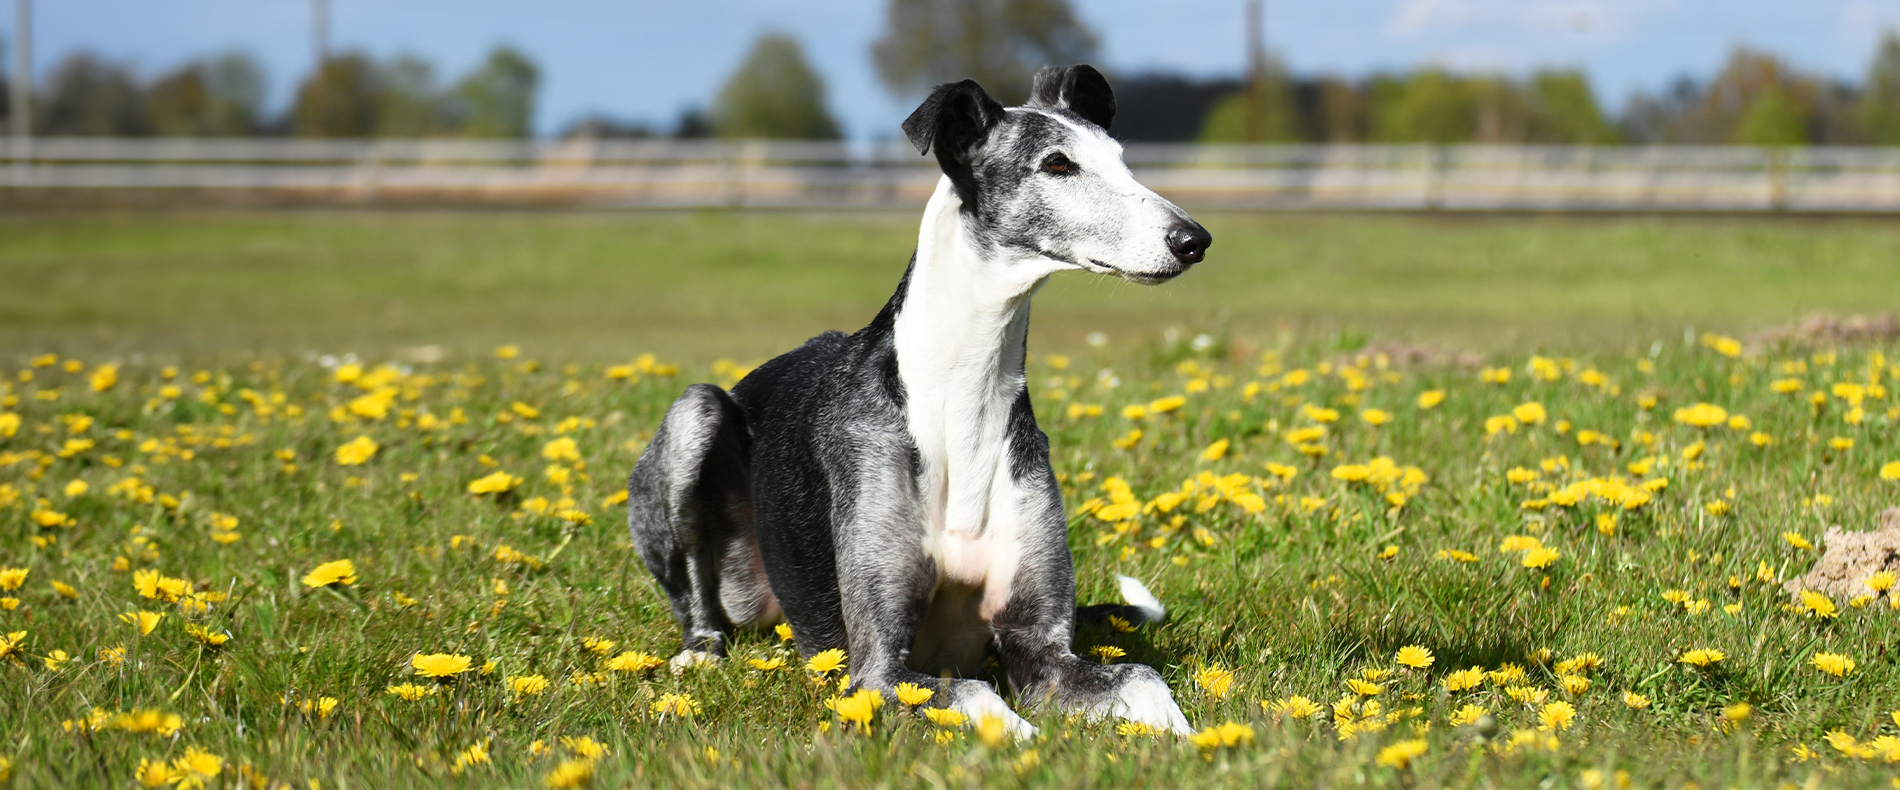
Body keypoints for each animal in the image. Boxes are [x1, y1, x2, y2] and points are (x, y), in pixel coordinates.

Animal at [630, 63, 1208, 733]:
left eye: (1121, 159)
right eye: (1058, 164)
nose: (1194, 239)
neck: (962, 397)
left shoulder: (1041, 651)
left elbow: (1144, 679)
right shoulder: (879, 669)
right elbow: (985, 700)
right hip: (697, 421)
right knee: (694, 597)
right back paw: (699, 650)